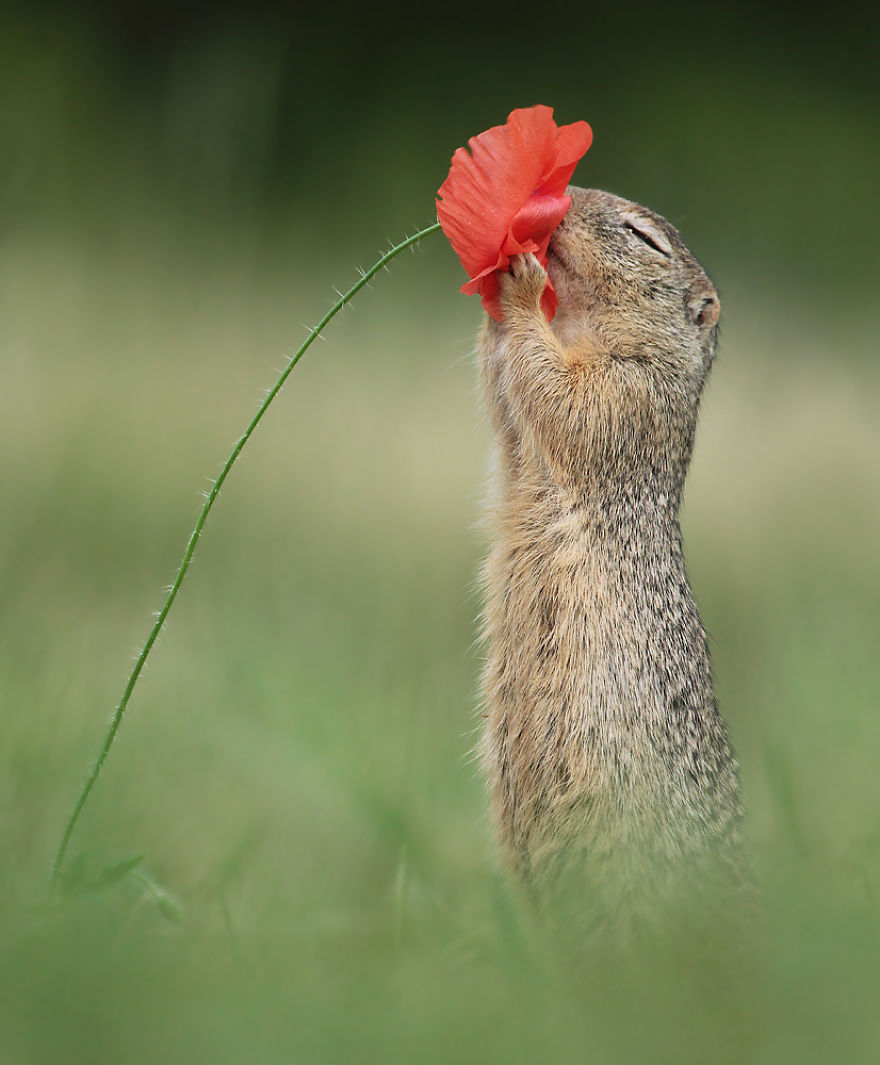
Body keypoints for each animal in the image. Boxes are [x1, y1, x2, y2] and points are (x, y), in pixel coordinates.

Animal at [477, 187, 745, 937]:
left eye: (642, 237)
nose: (562, 199)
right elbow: (509, 406)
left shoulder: (631, 395)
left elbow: (565, 398)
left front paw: (521, 285)